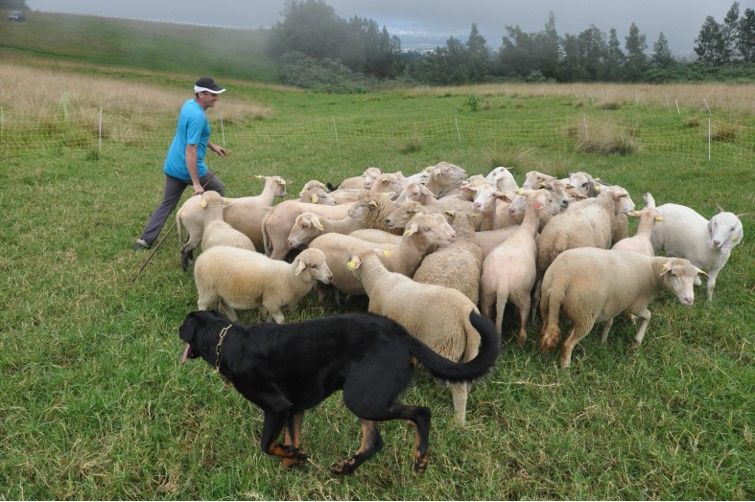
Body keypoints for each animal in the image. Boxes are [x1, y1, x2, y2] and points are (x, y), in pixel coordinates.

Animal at [180, 308, 502, 472]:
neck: (229, 341)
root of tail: (402, 334)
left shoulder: (277, 407)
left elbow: (266, 445)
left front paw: (290, 456)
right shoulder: (294, 409)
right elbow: (290, 442)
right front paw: (294, 459)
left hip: (362, 398)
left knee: (421, 413)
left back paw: (420, 457)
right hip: (366, 394)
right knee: (374, 441)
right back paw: (347, 466)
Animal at [195, 245, 334, 324]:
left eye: (325, 262)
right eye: (313, 266)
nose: (330, 277)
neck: (289, 278)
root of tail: (202, 256)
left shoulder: (270, 303)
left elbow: (270, 318)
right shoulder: (271, 301)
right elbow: (280, 319)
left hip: (221, 291)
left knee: (225, 303)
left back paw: (234, 320)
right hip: (207, 289)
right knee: (201, 303)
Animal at [536, 248, 708, 368]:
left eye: (694, 278)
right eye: (673, 274)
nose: (689, 300)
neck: (652, 271)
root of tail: (561, 280)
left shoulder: (613, 303)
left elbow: (609, 323)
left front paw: (603, 341)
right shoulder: (635, 305)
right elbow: (648, 315)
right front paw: (637, 341)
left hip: (546, 305)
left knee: (545, 332)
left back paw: (543, 355)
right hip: (585, 313)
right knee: (568, 344)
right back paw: (566, 368)